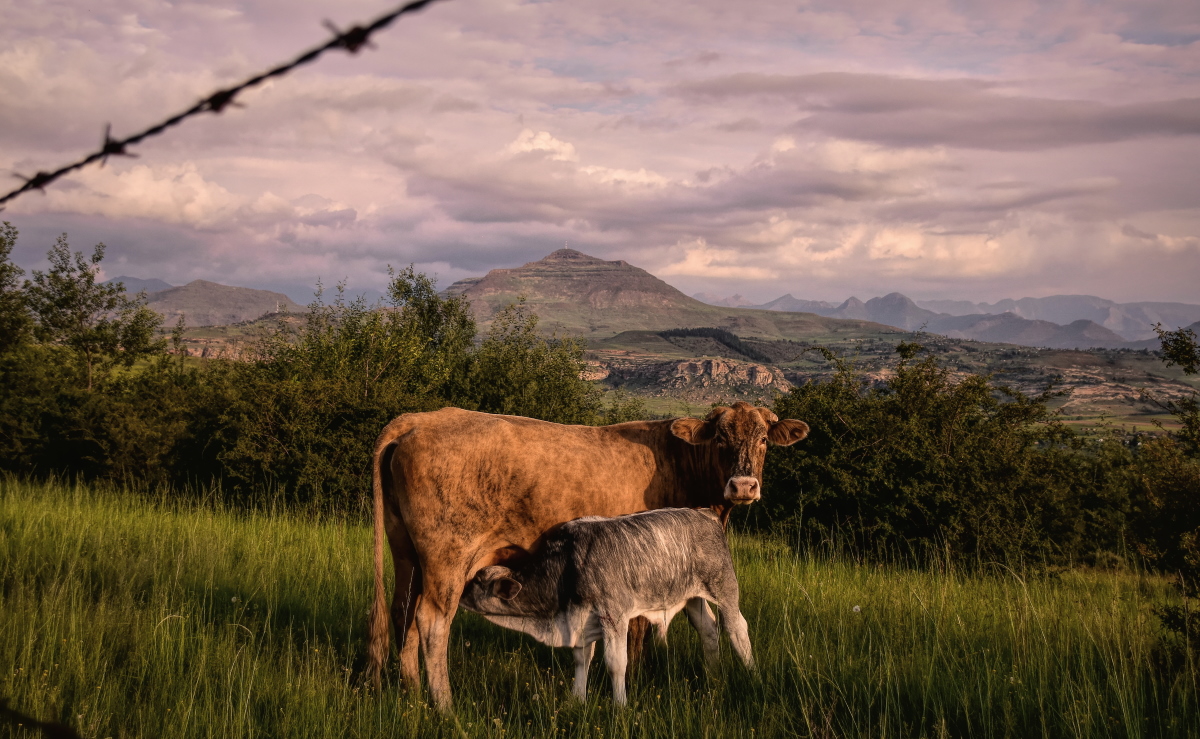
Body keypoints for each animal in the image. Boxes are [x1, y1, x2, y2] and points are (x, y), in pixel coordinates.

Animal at [458, 508, 748, 705]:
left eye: (477, 582)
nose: (459, 593)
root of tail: (704, 513)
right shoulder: (579, 619)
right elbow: (581, 660)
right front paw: (577, 699)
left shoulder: (614, 614)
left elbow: (616, 663)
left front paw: (620, 706)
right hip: (691, 597)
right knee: (708, 630)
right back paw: (713, 675)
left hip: (724, 585)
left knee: (737, 629)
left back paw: (750, 673)